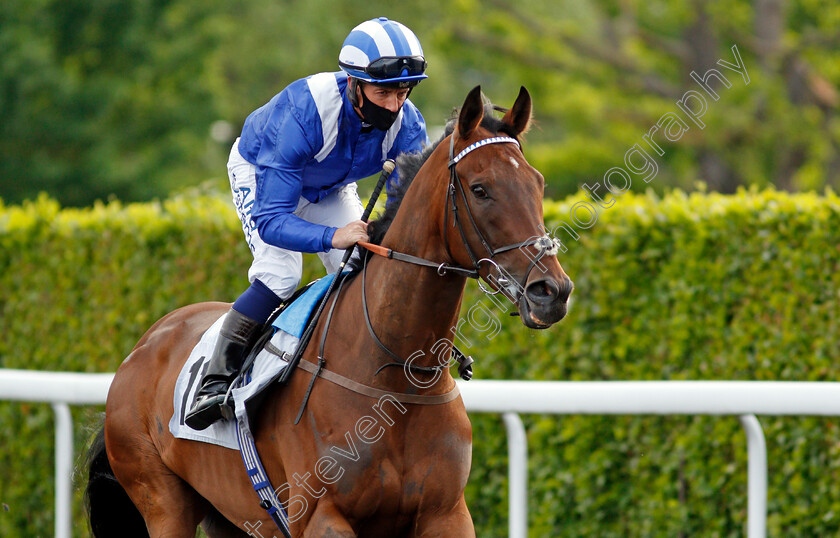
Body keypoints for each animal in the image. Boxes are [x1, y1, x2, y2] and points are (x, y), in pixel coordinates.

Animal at [85, 86, 572, 532]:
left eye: (539, 184)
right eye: (480, 189)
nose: (552, 291)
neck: (394, 376)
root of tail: (146, 344)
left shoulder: (446, 513)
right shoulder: (323, 516)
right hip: (163, 501)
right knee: (274, 274)